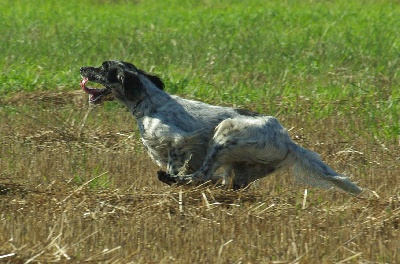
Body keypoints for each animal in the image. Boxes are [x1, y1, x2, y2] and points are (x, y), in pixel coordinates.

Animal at [79, 60, 360, 195]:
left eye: (103, 67)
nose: (82, 68)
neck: (147, 102)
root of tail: (288, 141)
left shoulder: (178, 140)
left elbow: (180, 166)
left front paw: (172, 179)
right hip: (245, 169)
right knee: (228, 183)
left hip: (226, 133)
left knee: (201, 175)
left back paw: (174, 180)